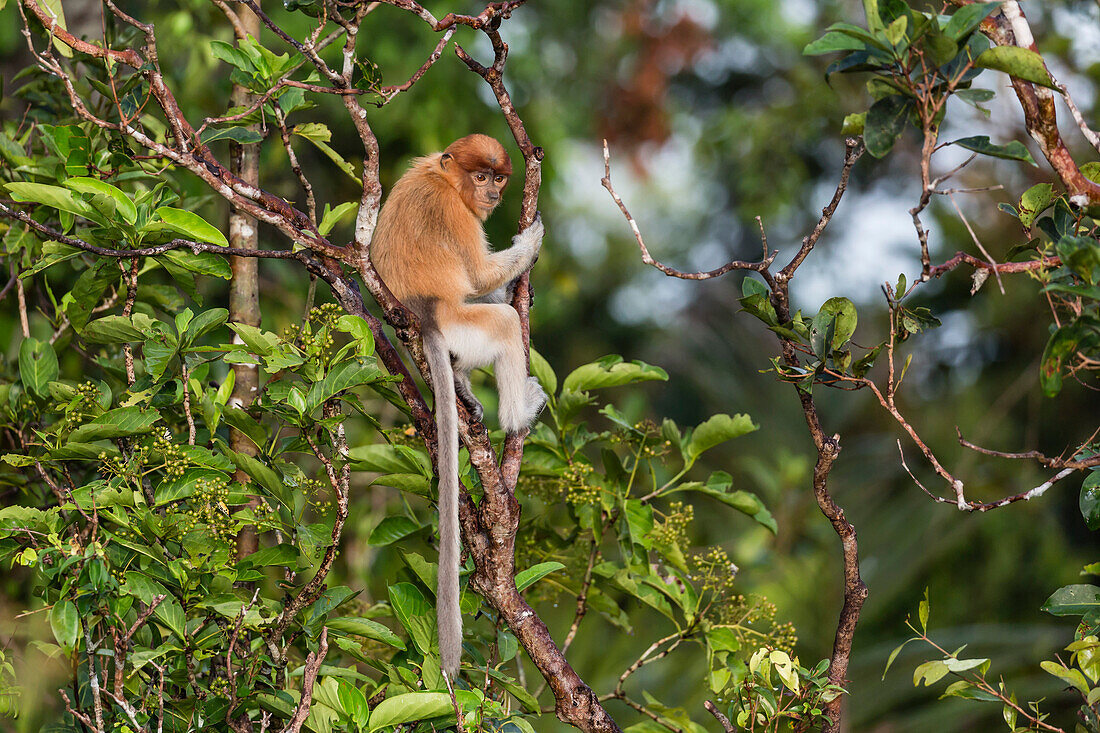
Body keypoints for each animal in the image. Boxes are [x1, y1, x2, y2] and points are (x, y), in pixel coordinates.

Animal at [369, 134, 545, 677]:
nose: (492, 194)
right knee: (502, 318)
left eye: (499, 177)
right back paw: (520, 413)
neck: (445, 178)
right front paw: (533, 238)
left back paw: (465, 385)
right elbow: (480, 272)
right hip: (462, 320)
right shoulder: (458, 213)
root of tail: (424, 313)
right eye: (481, 176)